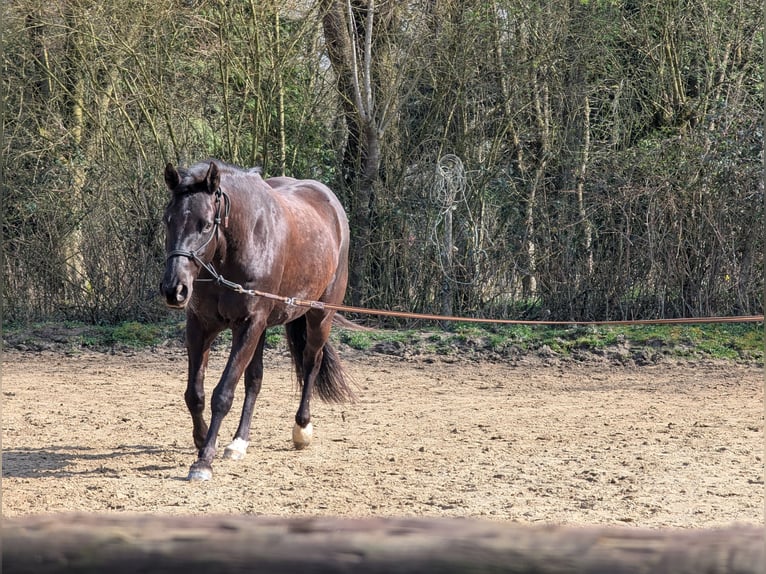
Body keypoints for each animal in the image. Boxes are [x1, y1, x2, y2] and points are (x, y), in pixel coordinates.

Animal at [160, 159, 354, 481]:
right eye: (168, 220)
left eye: (205, 224)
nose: (174, 289)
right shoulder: (201, 326)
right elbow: (195, 394)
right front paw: (202, 440)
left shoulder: (249, 324)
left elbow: (223, 394)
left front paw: (204, 460)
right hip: (263, 329)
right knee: (255, 379)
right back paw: (239, 442)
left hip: (319, 316)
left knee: (310, 365)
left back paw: (302, 428)